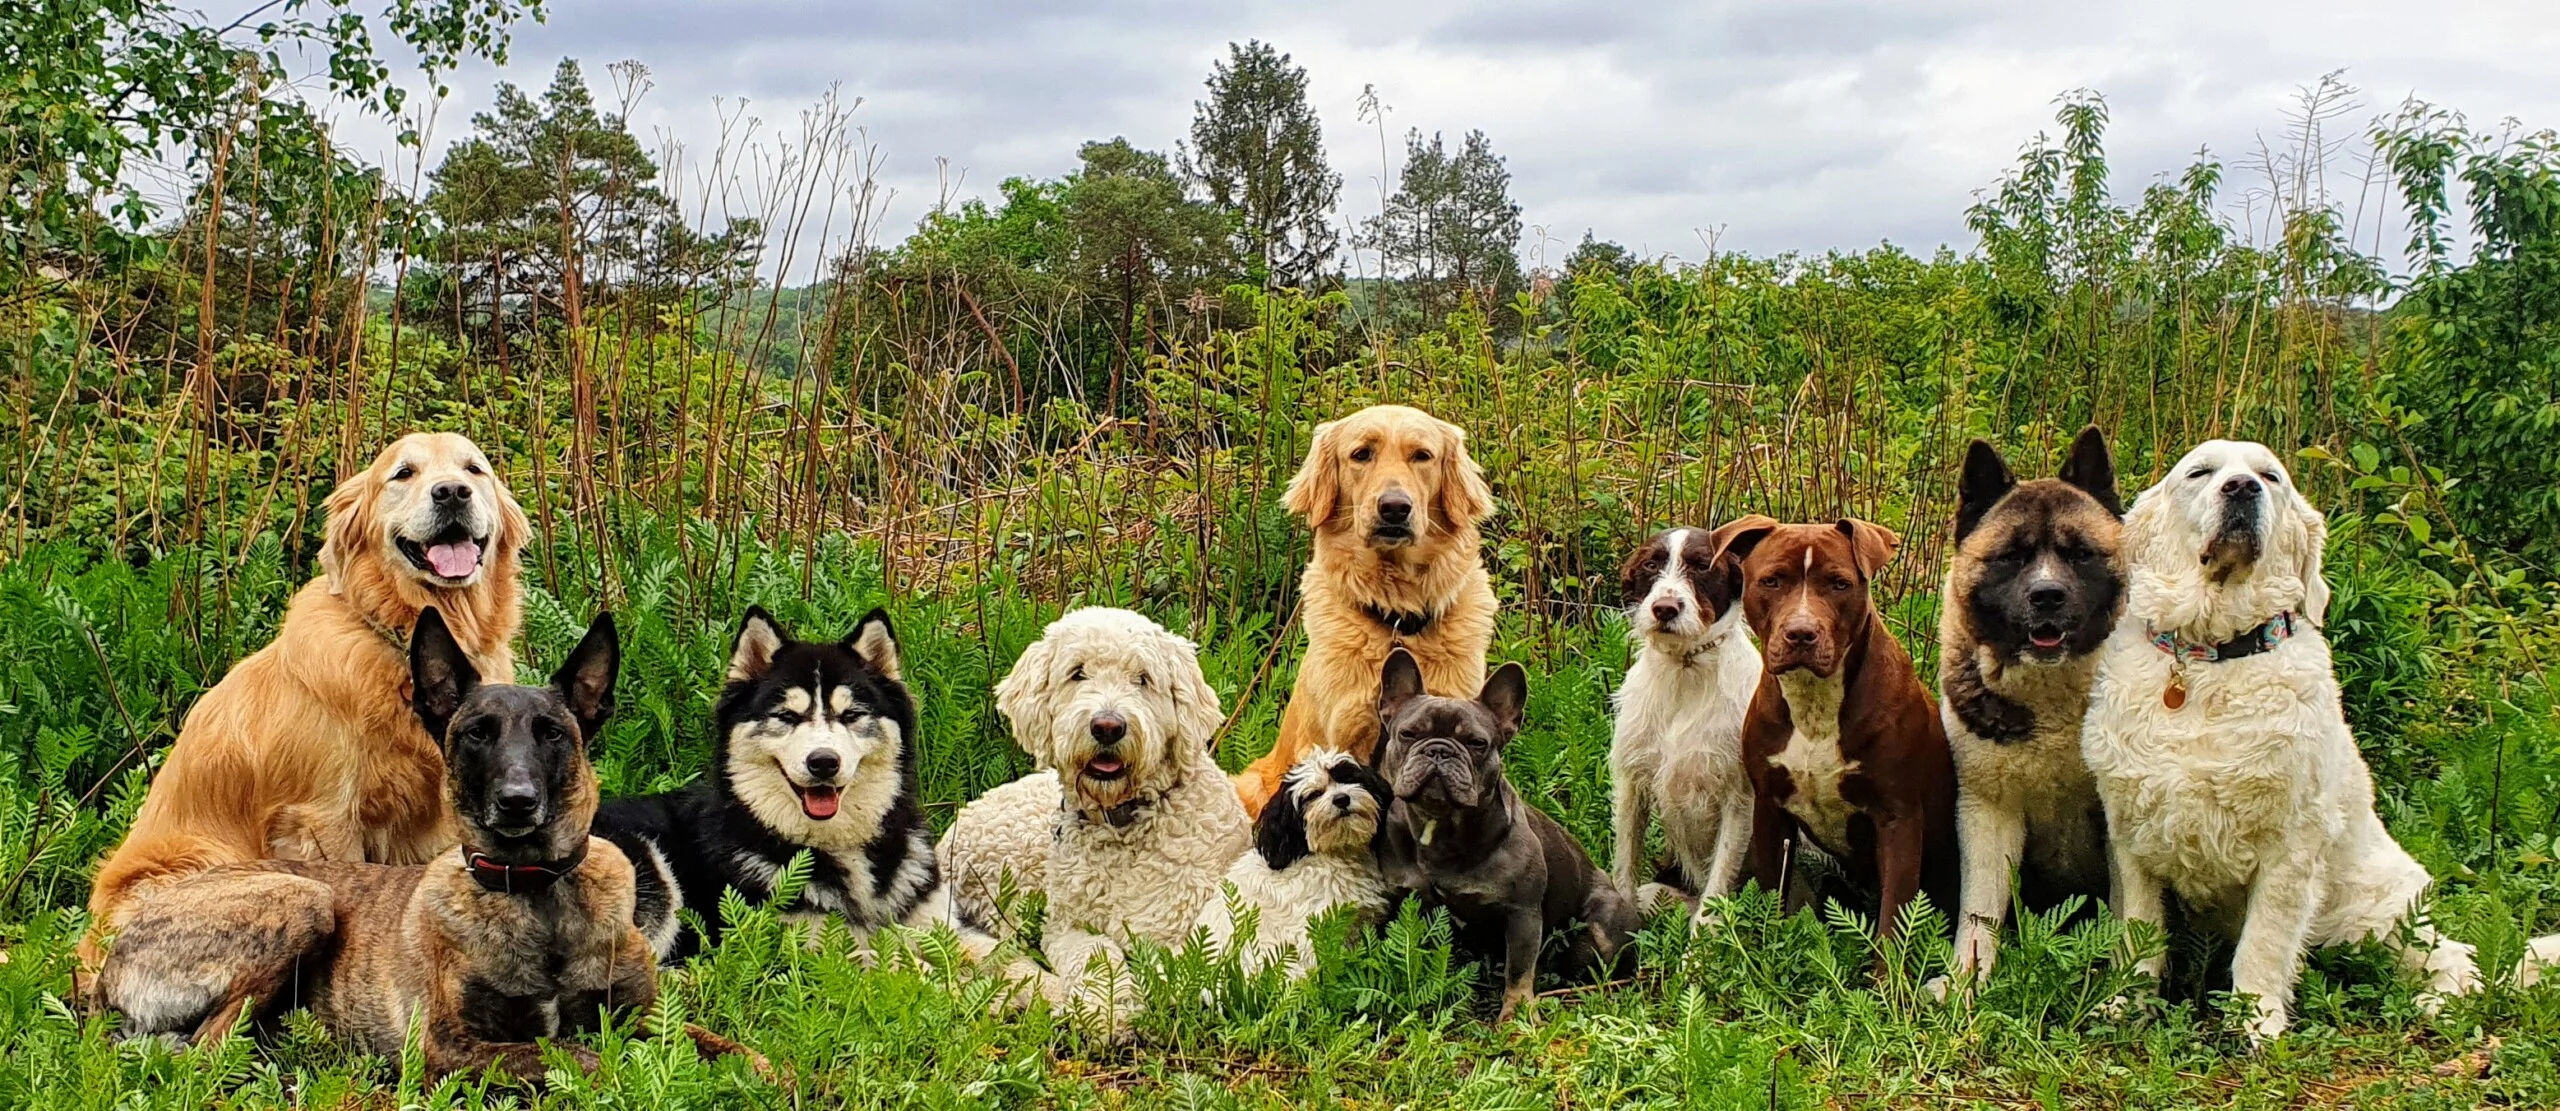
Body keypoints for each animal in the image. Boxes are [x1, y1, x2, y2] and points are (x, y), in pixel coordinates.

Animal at [936, 606, 1244, 1013]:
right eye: (1077, 672)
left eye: (1143, 679)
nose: (1108, 726)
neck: (1120, 826)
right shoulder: (1066, 926)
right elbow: (1095, 953)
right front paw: (1104, 1006)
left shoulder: (1173, 932)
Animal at [1720, 519, 1955, 947]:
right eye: (1772, 580)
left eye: (1839, 584)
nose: (1801, 633)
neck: (1815, 701)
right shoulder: (1769, 807)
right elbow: (1771, 890)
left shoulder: (1898, 818)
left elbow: (1894, 917)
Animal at [2078, 440, 2478, 1039]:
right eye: (2200, 473)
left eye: (2270, 477)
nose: (2243, 488)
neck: (2209, 661)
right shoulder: (2132, 838)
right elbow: (2139, 938)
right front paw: (2125, 1007)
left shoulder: (2291, 846)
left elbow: (2263, 945)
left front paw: (2256, 1023)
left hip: (2379, 911)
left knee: (2455, 957)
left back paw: (2438, 1002)